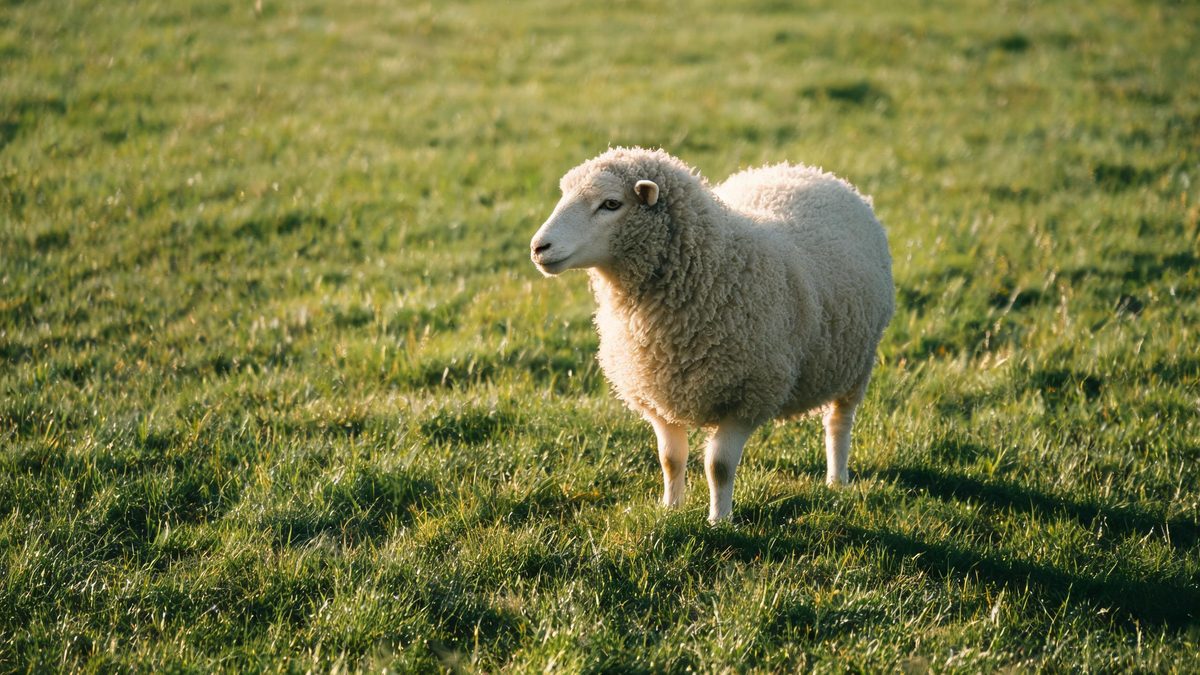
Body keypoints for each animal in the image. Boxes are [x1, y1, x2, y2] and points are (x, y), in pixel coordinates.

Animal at [529, 147, 894, 522]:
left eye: (611, 203)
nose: (539, 247)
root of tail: (808, 170)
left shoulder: (748, 396)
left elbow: (718, 466)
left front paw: (719, 521)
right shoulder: (656, 394)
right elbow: (670, 459)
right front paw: (670, 508)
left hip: (856, 364)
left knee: (839, 424)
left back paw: (837, 480)